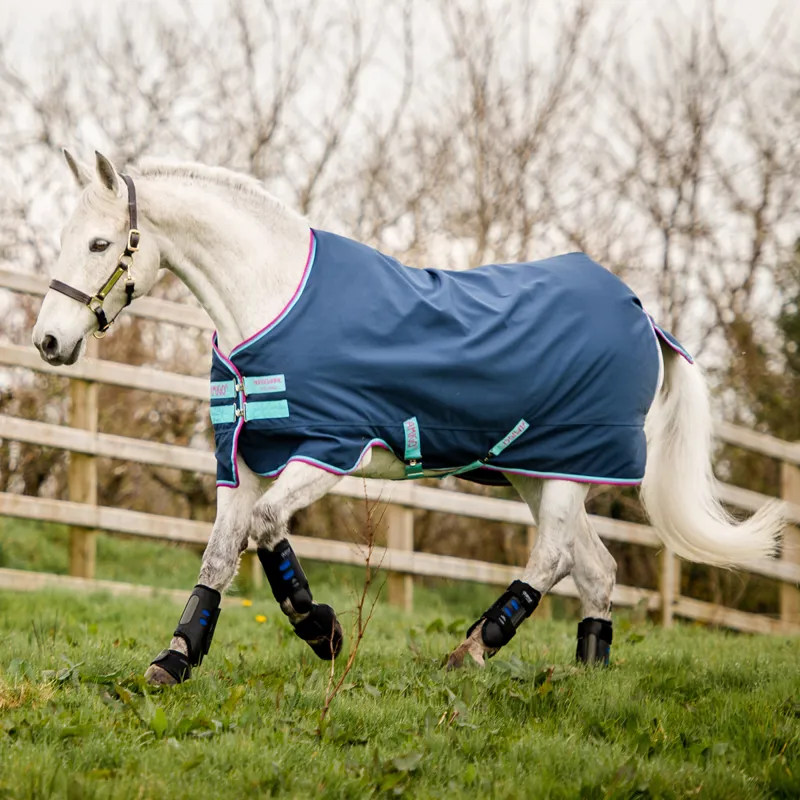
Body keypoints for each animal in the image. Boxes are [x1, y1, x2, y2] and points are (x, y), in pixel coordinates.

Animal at [31, 150, 784, 685]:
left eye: (100, 244)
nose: (48, 342)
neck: (272, 301)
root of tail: (644, 316)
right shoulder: (241, 458)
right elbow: (221, 552)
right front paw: (176, 658)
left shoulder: (329, 449)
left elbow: (266, 529)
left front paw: (322, 631)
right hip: (536, 471)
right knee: (594, 568)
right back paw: (587, 677)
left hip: (572, 467)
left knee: (552, 558)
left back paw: (471, 652)